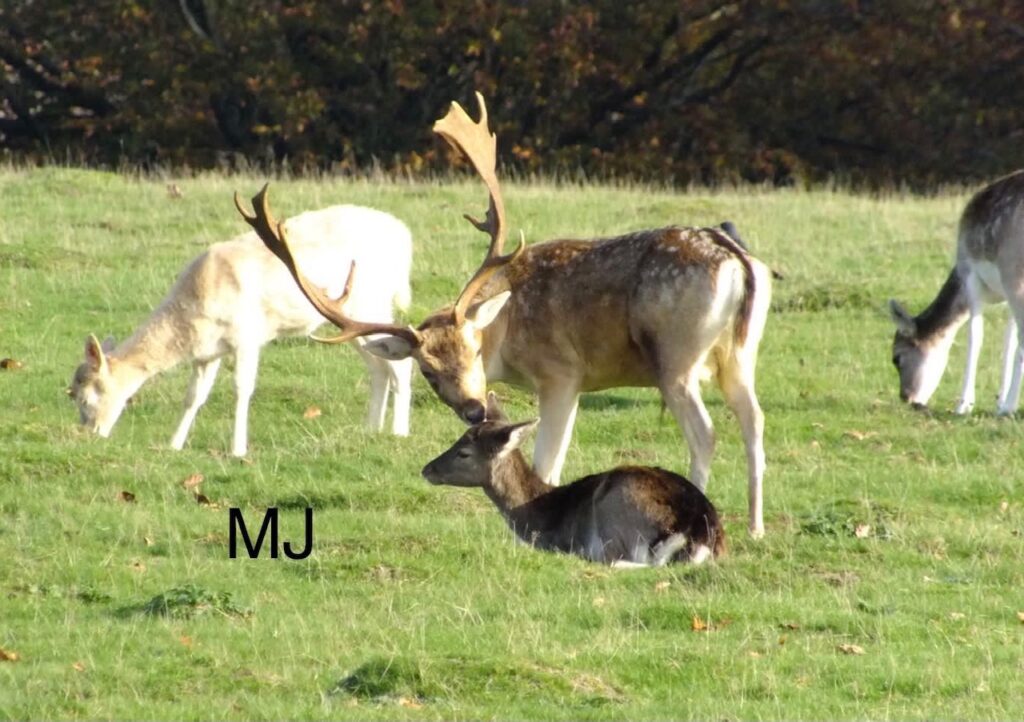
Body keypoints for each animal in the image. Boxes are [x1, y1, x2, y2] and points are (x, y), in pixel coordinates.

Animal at [69, 198, 414, 457]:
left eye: (84, 397)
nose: (91, 434)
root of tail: (404, 235)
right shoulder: (207, 353)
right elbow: (194, 396)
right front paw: (174, 445)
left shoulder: (248, 336)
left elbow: (242, 388)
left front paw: (238, 450)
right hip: (350, 321)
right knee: (379, 366)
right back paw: (371, 430)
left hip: (370, 303)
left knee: (401, 362)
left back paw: (399, 433)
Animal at [243, 93, 772, 537]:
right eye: (428, 370)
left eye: (474, 347)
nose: (474, 408)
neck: (508, 339)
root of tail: (738, 260)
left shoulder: (562, 373)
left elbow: (546, 460)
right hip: (739, 353)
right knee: (755, 421)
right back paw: (754, 526)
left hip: (677, 354)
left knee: (706, 434)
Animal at [422, 393, 725, 567]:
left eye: (463, 452)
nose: (427, 469)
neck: (536, 512)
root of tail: (697, 531)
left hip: (616, 508)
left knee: (621, 560)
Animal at [889, 170, 1024, 415]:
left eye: (897, 357)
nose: (908, 398)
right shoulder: (1005, 297)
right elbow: (1008, 342)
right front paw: (999, 400)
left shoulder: (970, 275)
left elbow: (975, 335)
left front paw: (964, 405)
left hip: (1013, 270)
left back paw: (1009, 408)